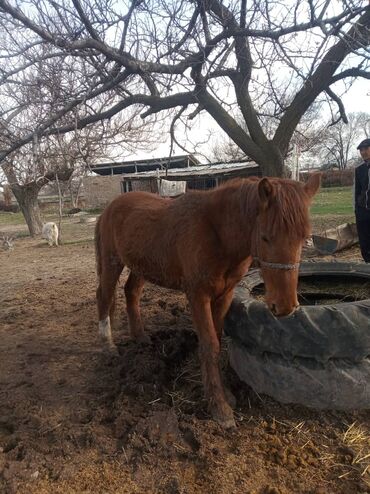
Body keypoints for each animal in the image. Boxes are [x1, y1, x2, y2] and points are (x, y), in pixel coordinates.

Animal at [94, 175, 320, 428]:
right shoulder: (197, 295)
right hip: (112, 262)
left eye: (304, 238)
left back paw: (140, 337)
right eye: (265, 237)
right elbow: (210, 345)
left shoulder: (225, 295)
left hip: (141, 266)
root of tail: (109, 208)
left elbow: (218, 341)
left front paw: (225, 396)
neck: (216, 232)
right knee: (104, 297)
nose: (285, 306)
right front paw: (219, 407)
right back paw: (108, 345)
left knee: (131, 292)